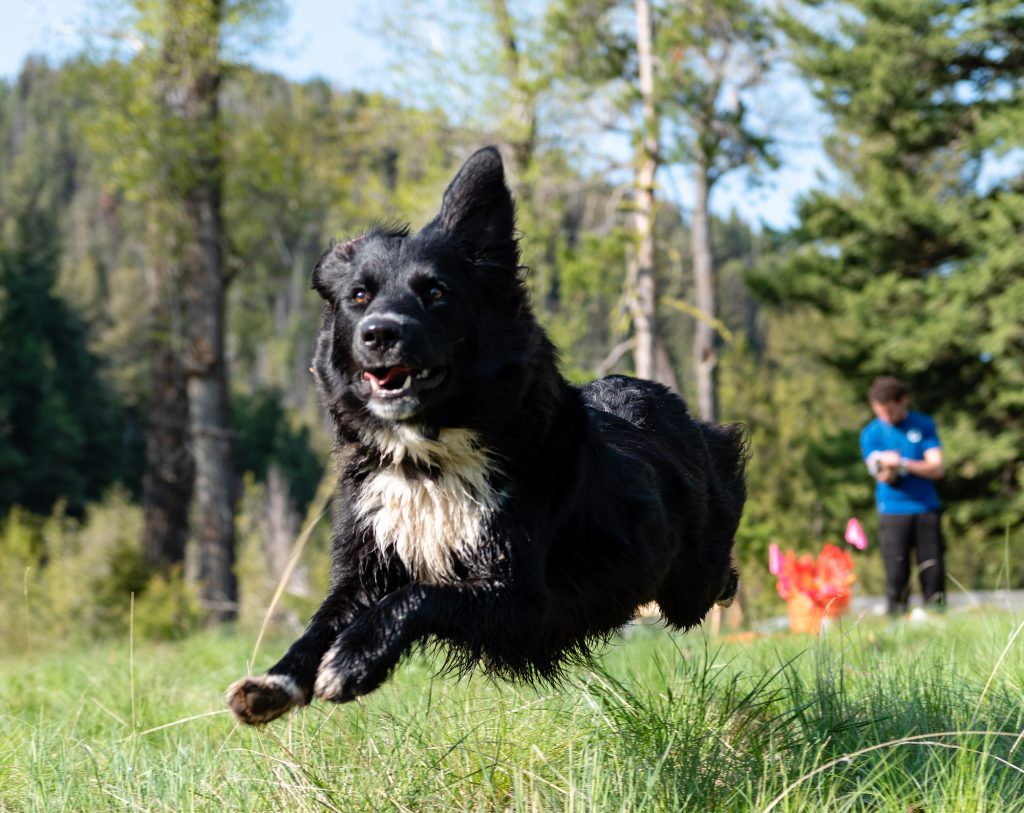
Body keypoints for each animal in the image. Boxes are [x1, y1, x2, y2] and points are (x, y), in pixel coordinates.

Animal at [228, 145, 749, 720]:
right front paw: (275, 682)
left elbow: (420, 595)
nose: (379, 333)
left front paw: (355, 659)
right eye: (359, 295)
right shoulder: (367, 564)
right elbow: (319, 624)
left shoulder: (522, 604)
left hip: (690, 577)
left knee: (715, 578)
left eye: (435, 291)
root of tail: (668, 401)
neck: (427, 462)